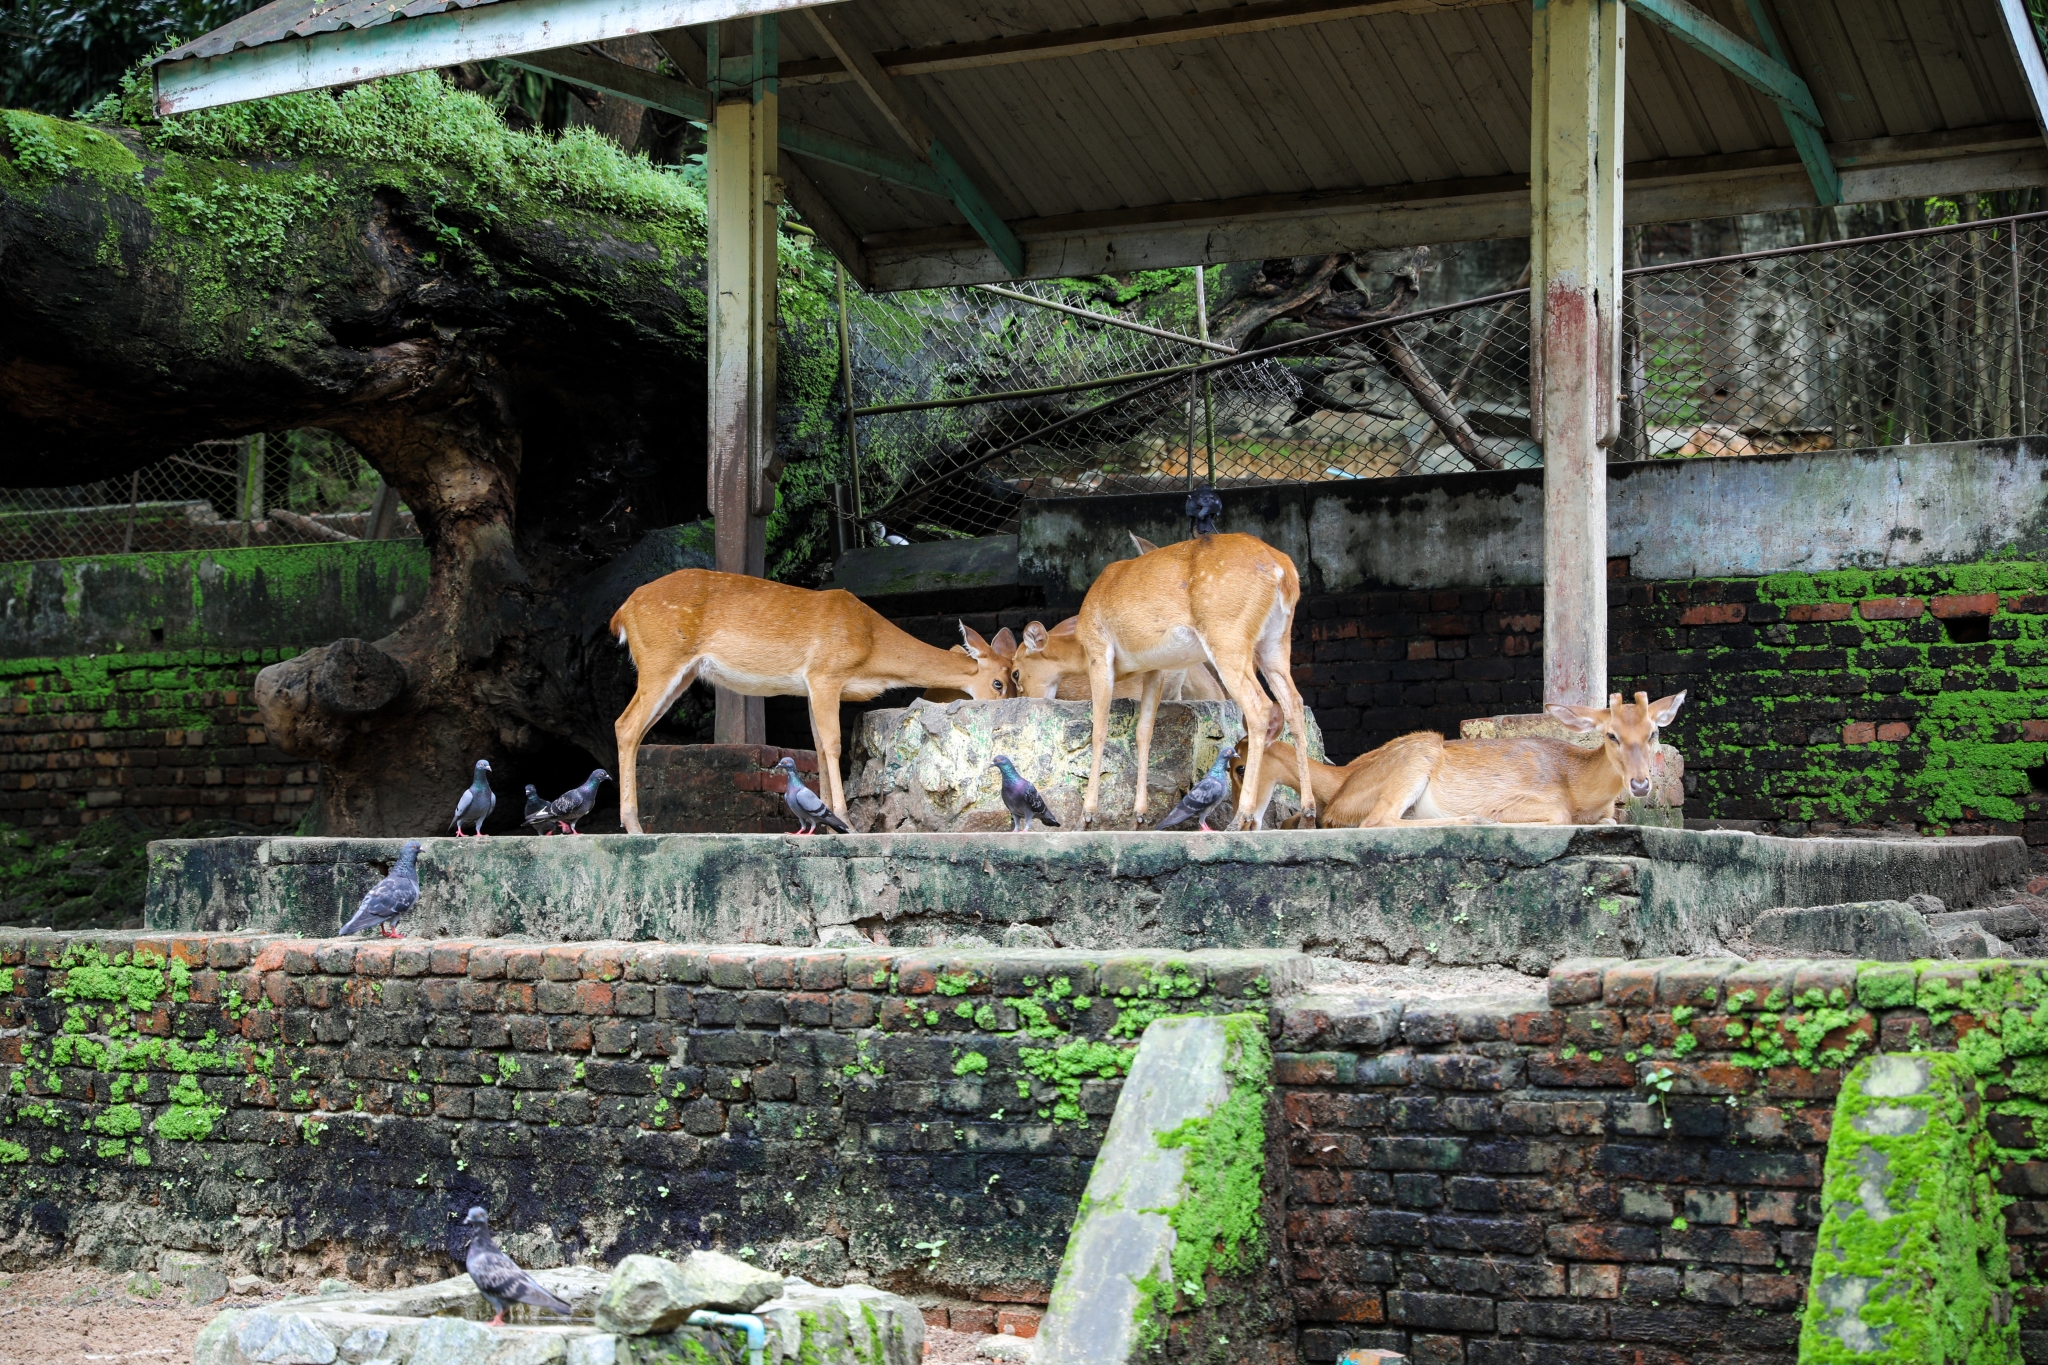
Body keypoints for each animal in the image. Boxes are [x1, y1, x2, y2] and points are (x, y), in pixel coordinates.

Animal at [610, 568, 1019, 834]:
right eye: (999, 682)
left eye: (1016, 676)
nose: (1015, 701)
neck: (872, 649)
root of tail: (622, 613)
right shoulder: (825, 674)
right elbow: (833, 744)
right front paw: (847, 822)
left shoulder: (809, 687)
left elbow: (819, 747)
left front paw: (826, 822)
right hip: (661, 658)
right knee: (625, 725)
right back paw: (634, 826)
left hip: (680, 672)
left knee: (635, 729)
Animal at [1073, 532, 1310, 834]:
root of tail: (1283, 570)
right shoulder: (1155, 667)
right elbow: (1144, 731)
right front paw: (1139, 815)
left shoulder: (1098, 650)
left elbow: (1099, 729)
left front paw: (1087, 815)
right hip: (1275, 639)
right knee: (1294, 702)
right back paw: (1308, 812)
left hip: (1227, 633)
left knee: (1260, 705)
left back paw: (1240, 818)